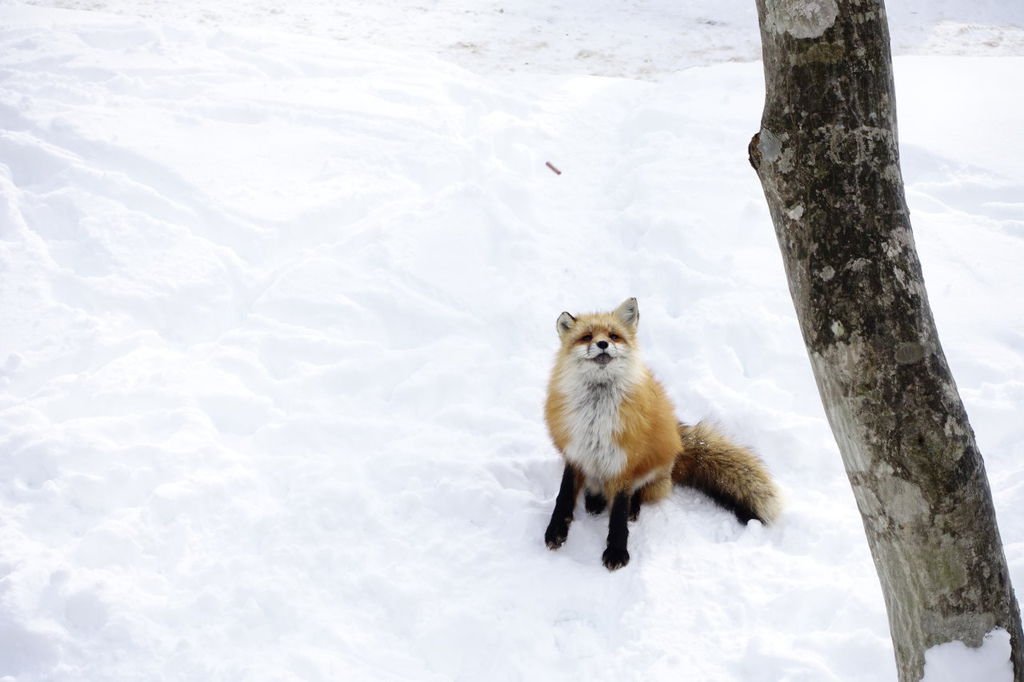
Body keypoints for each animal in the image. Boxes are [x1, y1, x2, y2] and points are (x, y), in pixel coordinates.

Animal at [548, 296, 778, 569]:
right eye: (587, 337)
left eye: (614, 336)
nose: (603, 344)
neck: (597, 414)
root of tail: (678, 446)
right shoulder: (575, 451)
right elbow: (563, 496)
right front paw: (555, 531)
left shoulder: (624, 460)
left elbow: (618, 513)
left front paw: (617, 551)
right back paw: (594, 501)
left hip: (651, 469)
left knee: (639, 492)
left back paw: (630, 507)